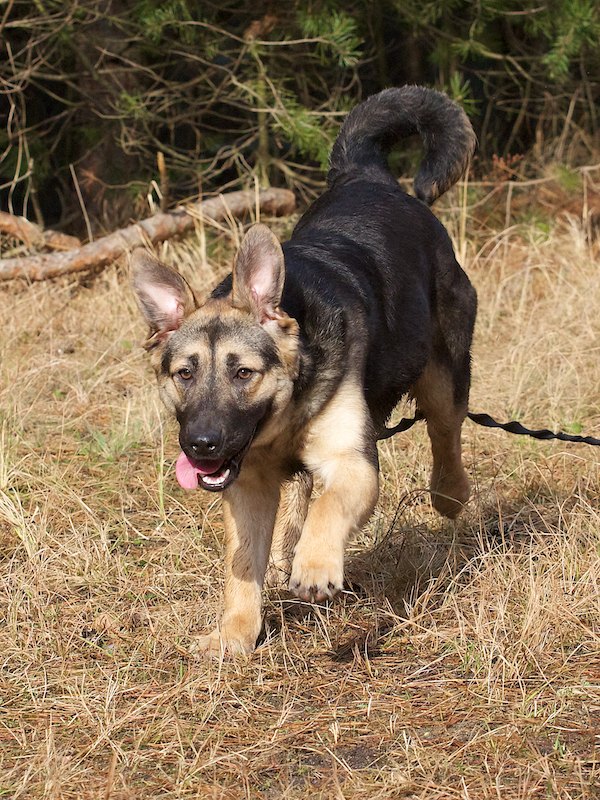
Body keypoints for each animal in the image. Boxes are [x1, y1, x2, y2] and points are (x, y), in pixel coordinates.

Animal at [131, 85, 477, 655]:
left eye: (243, 373)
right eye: (184, 374)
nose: (200, 445)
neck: (284, 414)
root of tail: (367, 175)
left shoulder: (352, 462)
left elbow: (330, 509)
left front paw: (315, 567)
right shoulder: (247, 486)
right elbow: (243, 564)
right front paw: (235, 634)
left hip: (444, 374)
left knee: (445, 432)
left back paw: (449, 495)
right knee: (298, 496)